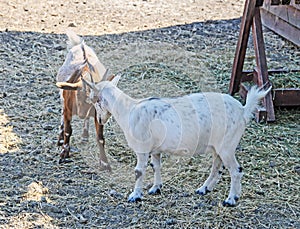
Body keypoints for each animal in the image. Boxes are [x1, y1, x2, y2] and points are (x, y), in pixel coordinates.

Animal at [55, 29, 110, 171]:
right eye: (77, 95)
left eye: (98, 101)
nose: (80, 114)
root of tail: (80, 45)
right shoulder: (68, 109)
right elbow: (68, 131)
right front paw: (64, 153)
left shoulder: (96, 114)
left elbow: (100, 137)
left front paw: (104, 163)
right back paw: (60, 138)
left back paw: (85, 135)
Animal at [82, 74, 272, 206]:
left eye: (93, 99)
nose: (100, 120)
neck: (129, 110)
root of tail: (243, 110)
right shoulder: (155, 149)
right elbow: (156, 166)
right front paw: (155, 188)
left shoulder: (142, 149)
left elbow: (139, 171)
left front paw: (135, 196)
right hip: (218, 147)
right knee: (217, 168)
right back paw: (204, 189)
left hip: (227, 145)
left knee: (236, 171)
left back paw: (231, 199)